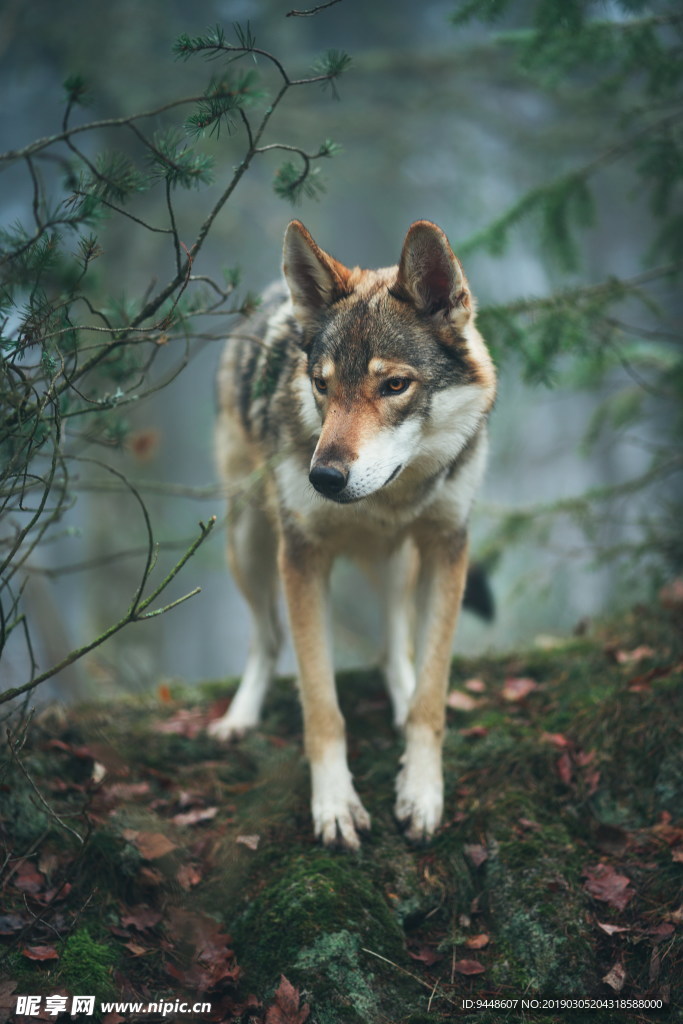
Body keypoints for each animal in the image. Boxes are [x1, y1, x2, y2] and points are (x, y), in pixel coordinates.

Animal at [209, 222, 497, 847]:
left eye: (394, 385)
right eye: (322, 385)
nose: (323, 477)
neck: (388, 500)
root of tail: (271, 293)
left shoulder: (446, 546)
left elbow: (432, 698)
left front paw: (421, 793)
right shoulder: (302, 557)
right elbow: (322, 707)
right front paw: (335, 807)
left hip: (396, 563)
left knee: (394, 646)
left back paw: (399, 696)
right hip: (248, 542)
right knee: (267, 639)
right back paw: (238, 719)